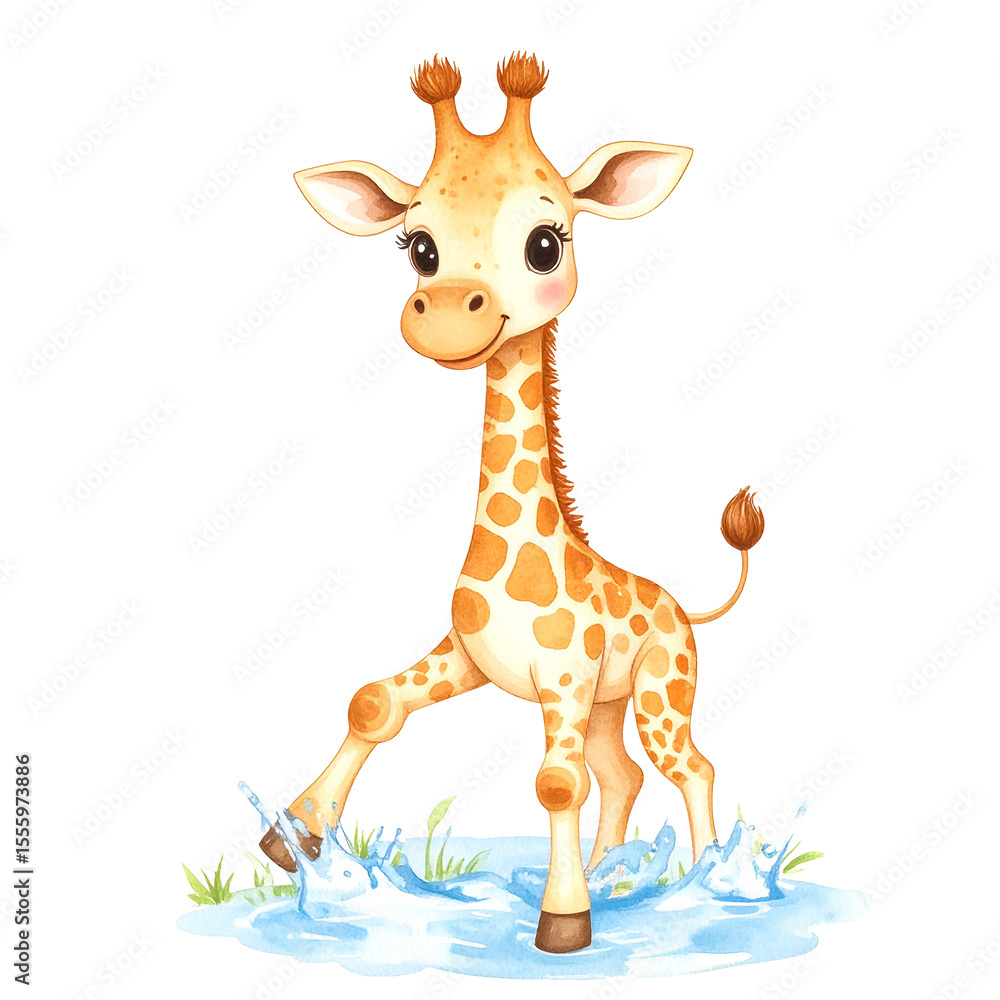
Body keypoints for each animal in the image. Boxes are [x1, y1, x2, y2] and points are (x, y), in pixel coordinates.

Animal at [259, 53, 765, 954]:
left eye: (544, 242)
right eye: (419, 247)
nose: (445, 317)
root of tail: (681, 605)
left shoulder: (560, 679)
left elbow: (554, 783)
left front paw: (563, 922)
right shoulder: (470, 656)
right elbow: (374, 701)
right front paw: (295, 836)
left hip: (660, 689)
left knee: (686, 764)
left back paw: (706, 880)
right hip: (608, 707)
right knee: (622, 774)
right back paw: (615, 873)